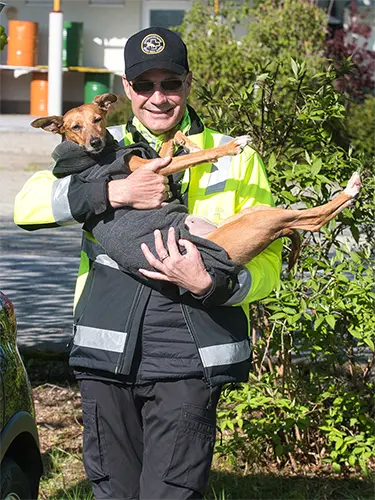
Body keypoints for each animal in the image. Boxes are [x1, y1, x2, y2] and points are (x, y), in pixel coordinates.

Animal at [31, 91, 362, 268]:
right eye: (75, 127)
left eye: (97, 120)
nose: (95, 143)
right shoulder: (153, 168)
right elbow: (192, 155)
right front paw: (229, 147)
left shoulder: (158, 159)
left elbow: (172, 138)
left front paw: (188, 141)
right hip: (264, 220)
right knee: (313, 220)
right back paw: (352, 187)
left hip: (254, 213)